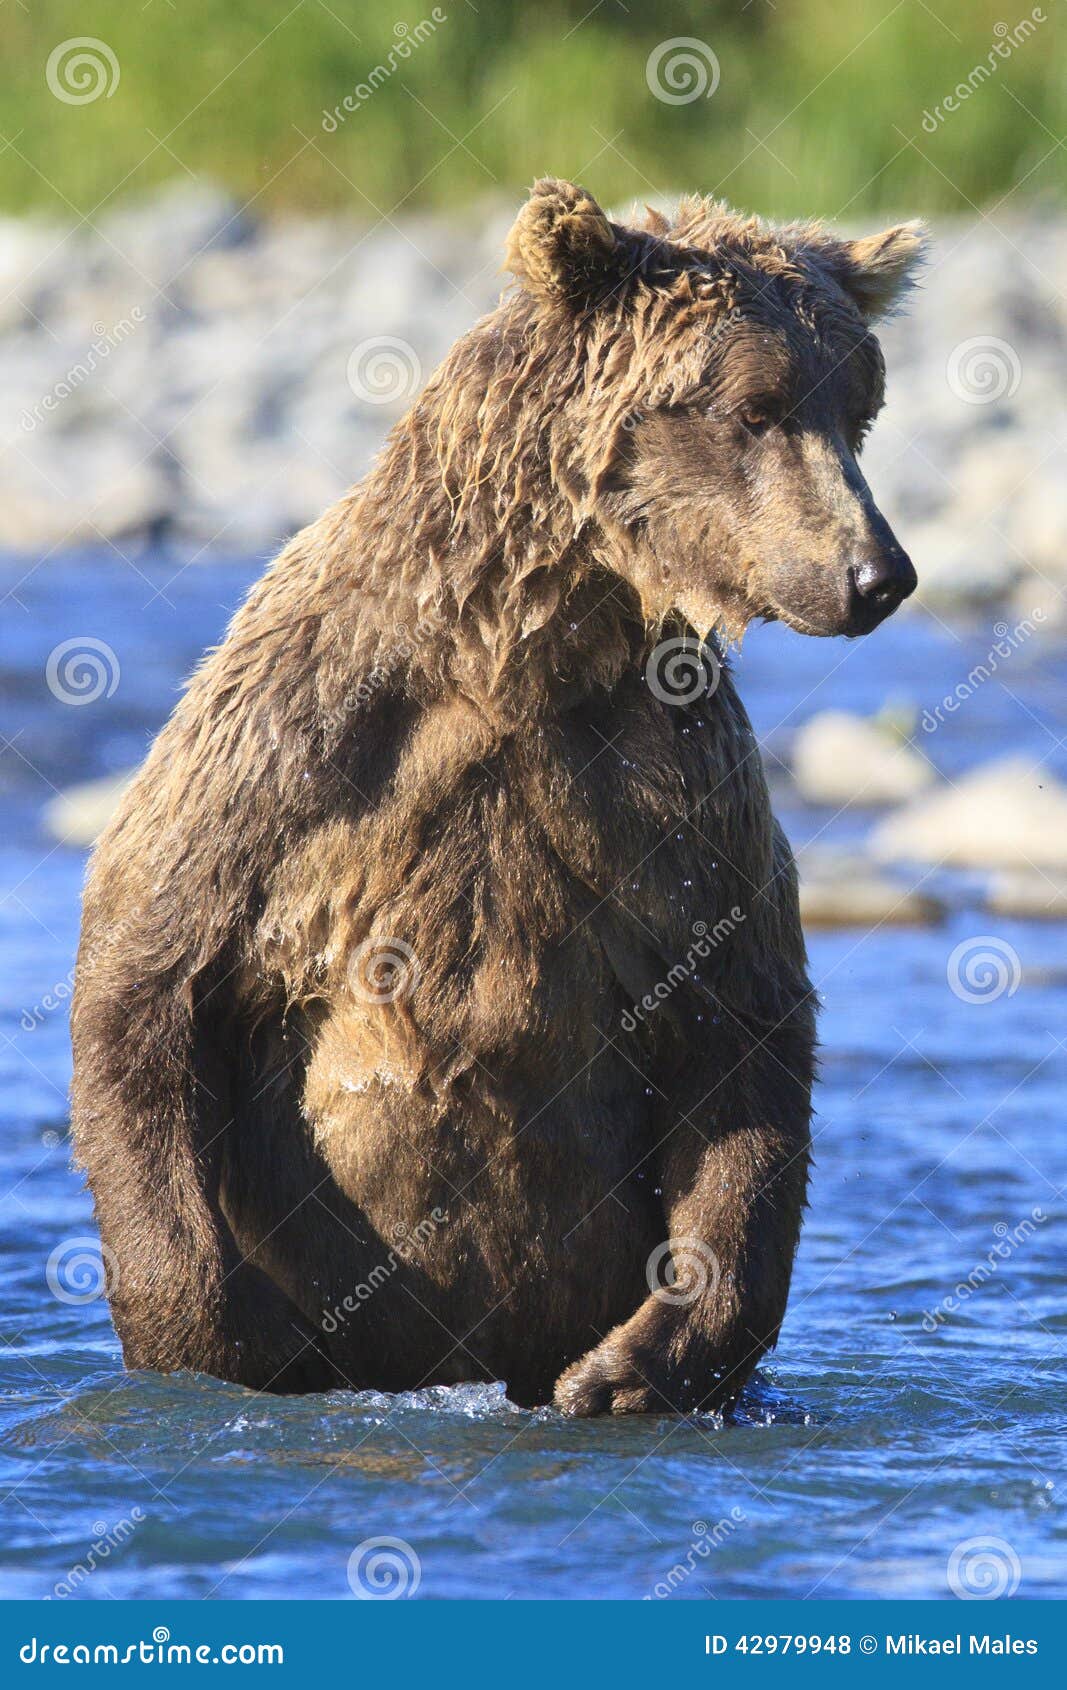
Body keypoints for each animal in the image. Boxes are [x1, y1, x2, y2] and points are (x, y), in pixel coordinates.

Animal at [71, 179, 923, 1415]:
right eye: (754, 407)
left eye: (855, 407)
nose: (874, 574)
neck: (521, 652)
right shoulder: (288, 750)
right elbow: (147, 979)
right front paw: (221, 1341)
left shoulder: (681, 790)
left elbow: (742, 1027)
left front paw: (623, 1370)